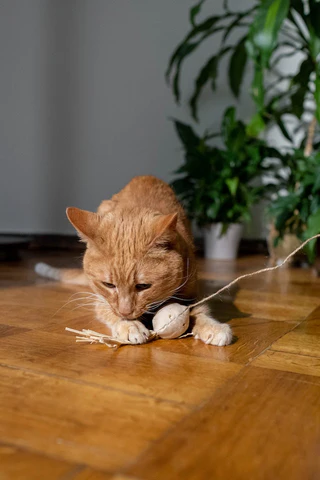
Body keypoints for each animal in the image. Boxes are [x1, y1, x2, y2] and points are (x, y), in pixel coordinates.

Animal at [35, 176, 232, 344]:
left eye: (143, 286)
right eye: (108, 284)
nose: (126, 311)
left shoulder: (193, 291)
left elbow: (201, 310)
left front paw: (213, 327)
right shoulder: (101, 300)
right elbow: (109, 311)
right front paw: (130, 326)